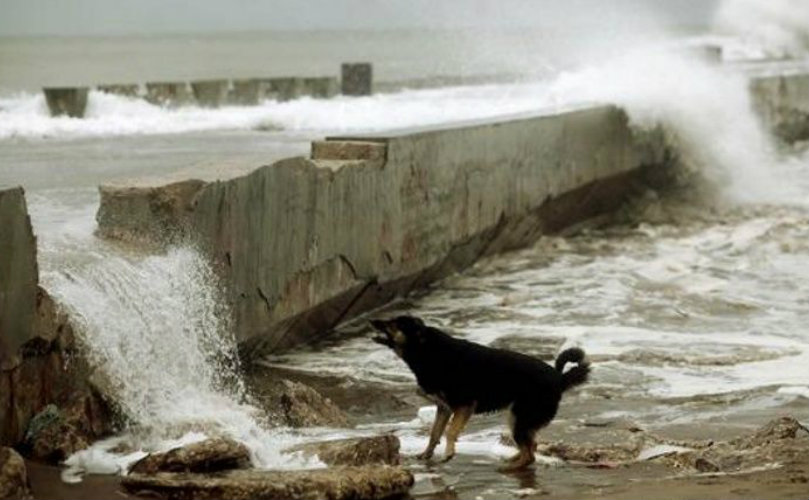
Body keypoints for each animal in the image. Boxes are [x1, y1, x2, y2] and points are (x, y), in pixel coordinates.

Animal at [370, 314, 588, 470]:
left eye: (393, 323)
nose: (372, 321)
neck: (425, 349)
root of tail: (559, 378)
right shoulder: (444, 408)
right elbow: (434, 433)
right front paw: (426, 454)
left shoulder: (464, 406)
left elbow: (450, 431)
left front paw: (448, 453)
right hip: (519, 419)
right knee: (531, 446)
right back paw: (513, 459)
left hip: (518, 418)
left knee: (530, 455)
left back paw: (511, 468)